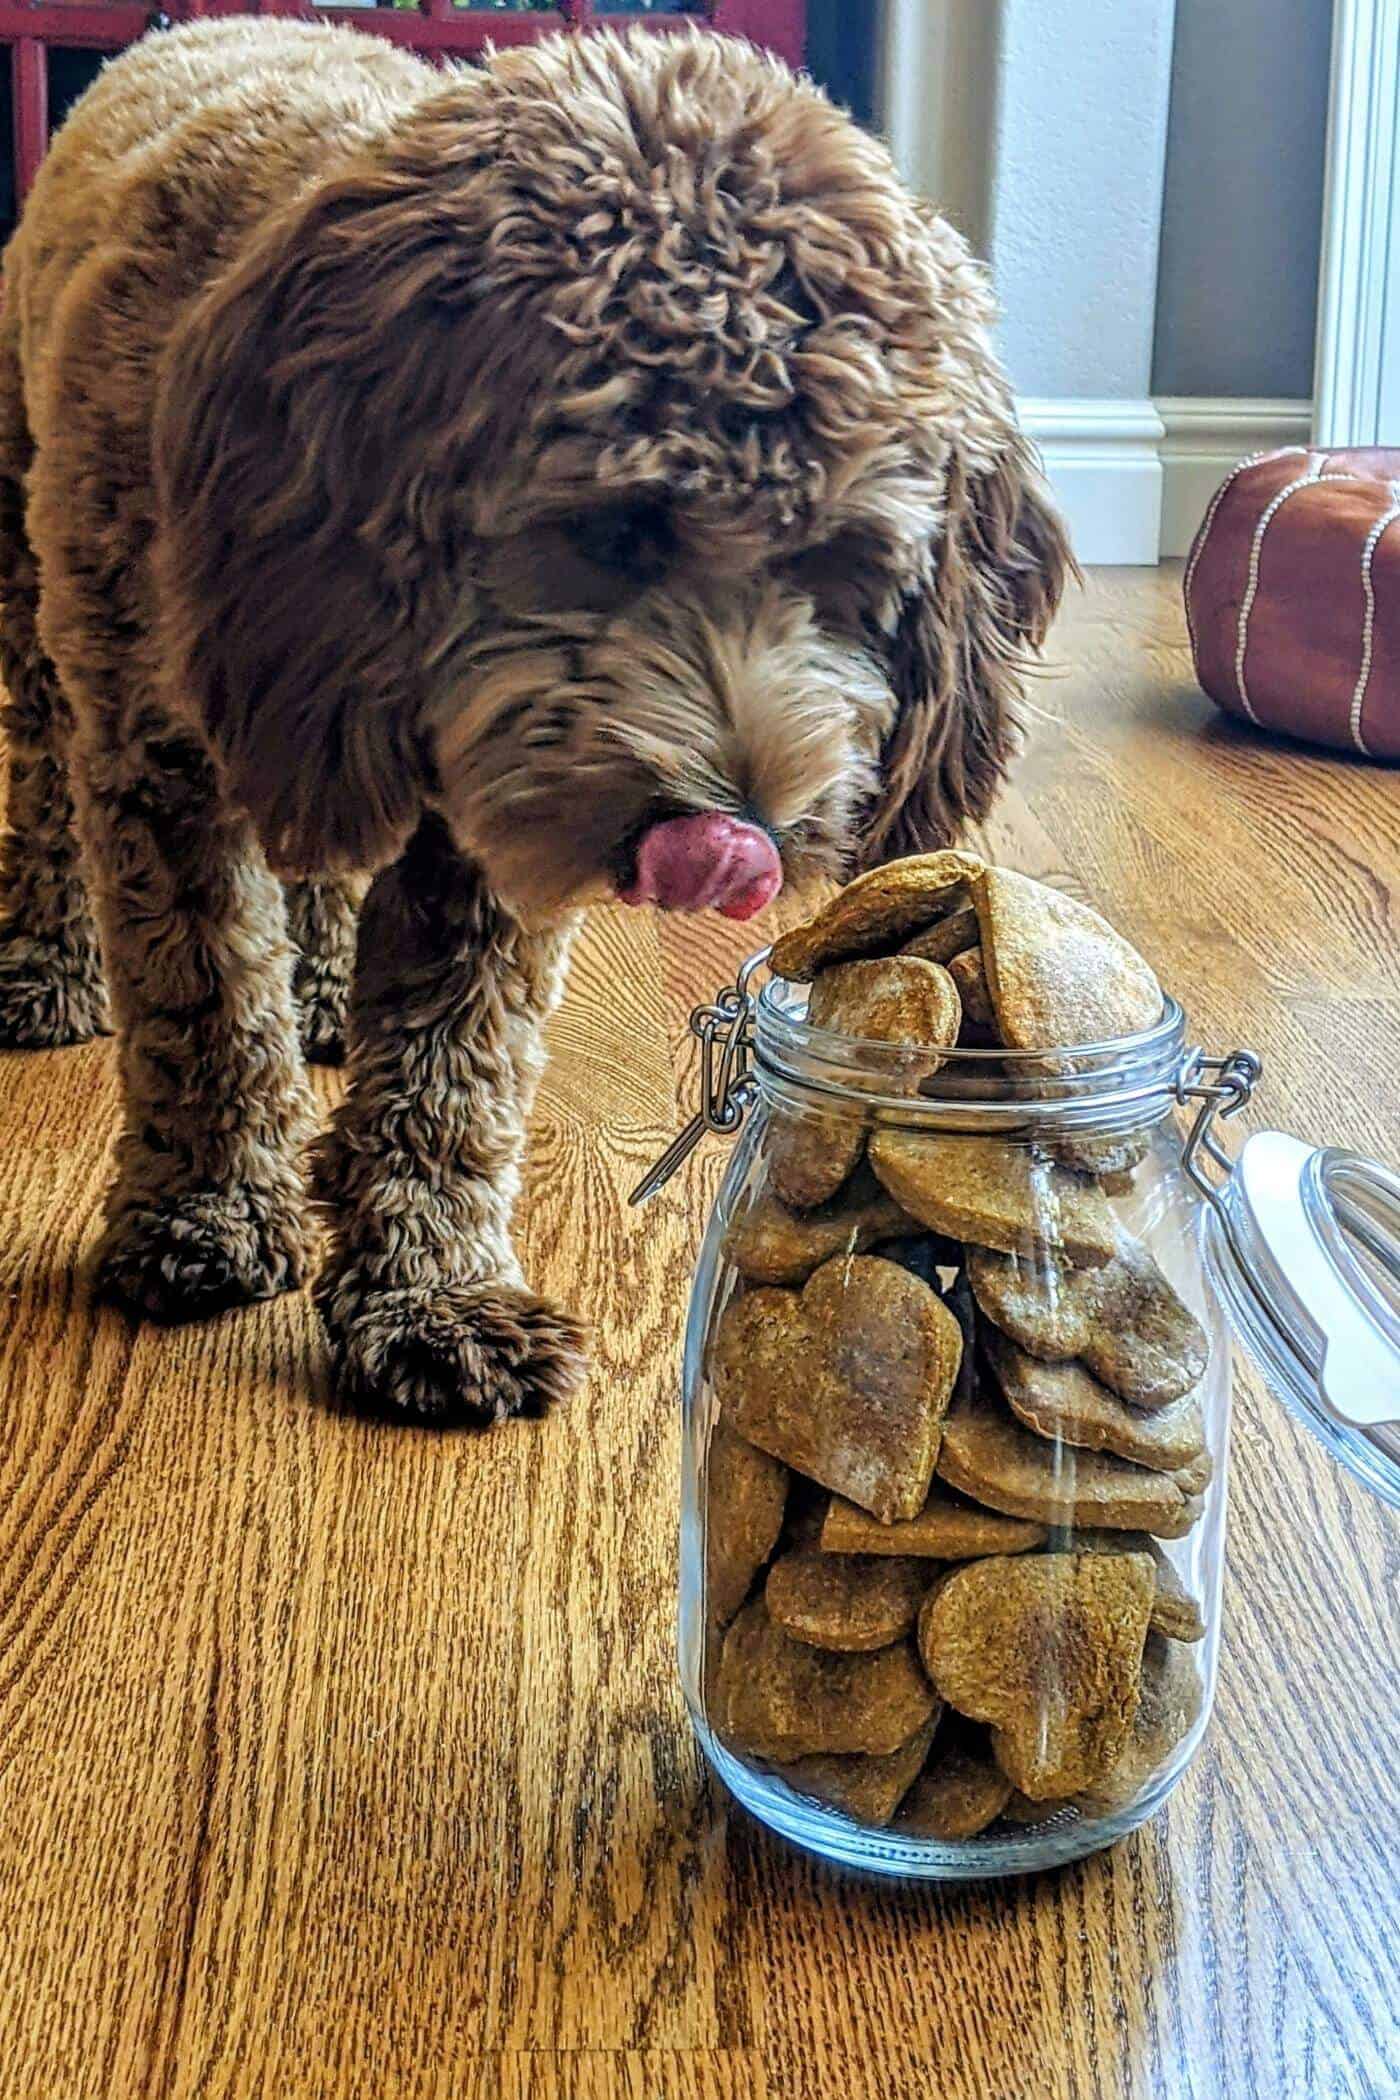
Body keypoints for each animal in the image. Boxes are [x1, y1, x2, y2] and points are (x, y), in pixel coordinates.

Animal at [0, 16, 1074, 1419]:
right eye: (609, 530)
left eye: (842, 566)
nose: (734, 839)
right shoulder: (163, 758)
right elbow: (205, 1001)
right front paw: (209, 1208)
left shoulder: (477, 829)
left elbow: (451, 1072)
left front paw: (431, 1294)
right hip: (38, 597)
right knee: (43, 796)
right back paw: (50, 967)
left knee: (326, 867)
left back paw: (327, 983)